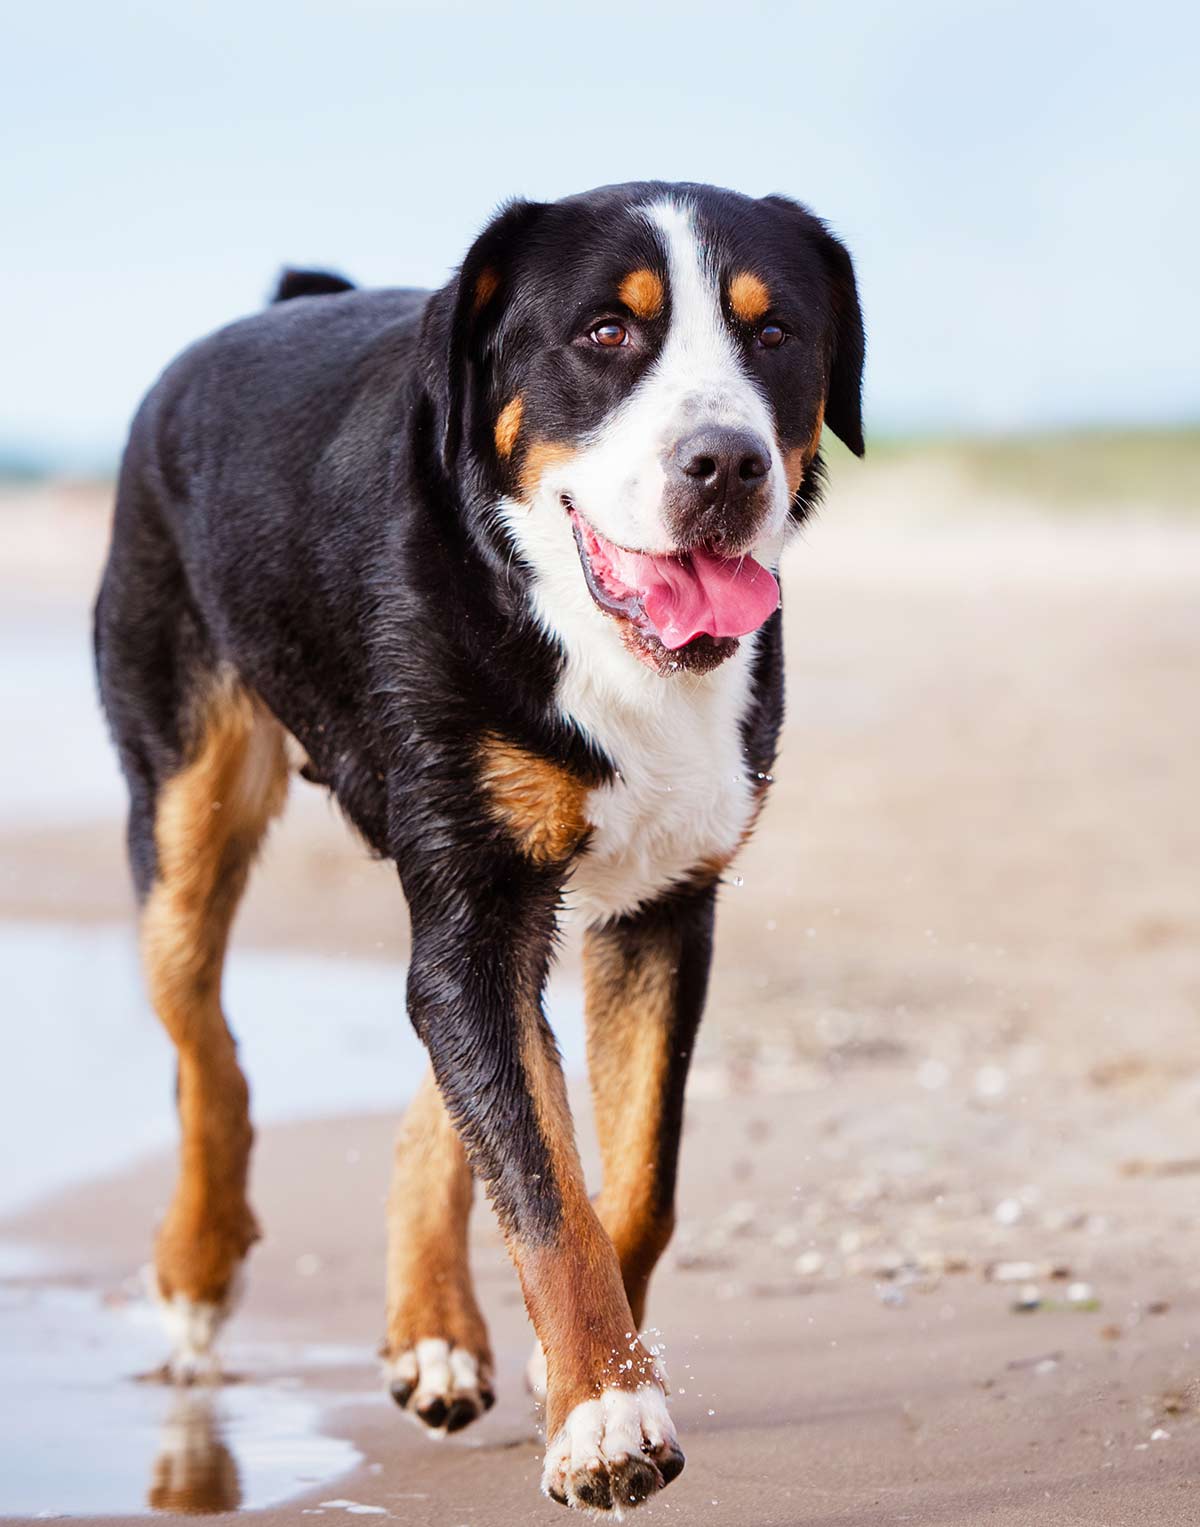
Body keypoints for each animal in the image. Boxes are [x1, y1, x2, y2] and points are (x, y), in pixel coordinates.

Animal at [93, 181, 861, 1514]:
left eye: (774, 333)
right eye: (606, 332)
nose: (726, 462)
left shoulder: (662, 906)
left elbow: (626, 1181)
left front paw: (591, 1375)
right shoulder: (475, 901)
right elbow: (546, 1191)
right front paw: (608, 1415)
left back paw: (435, 1331)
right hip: (185, 804)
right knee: (205, 1049)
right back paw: (199, 1268)